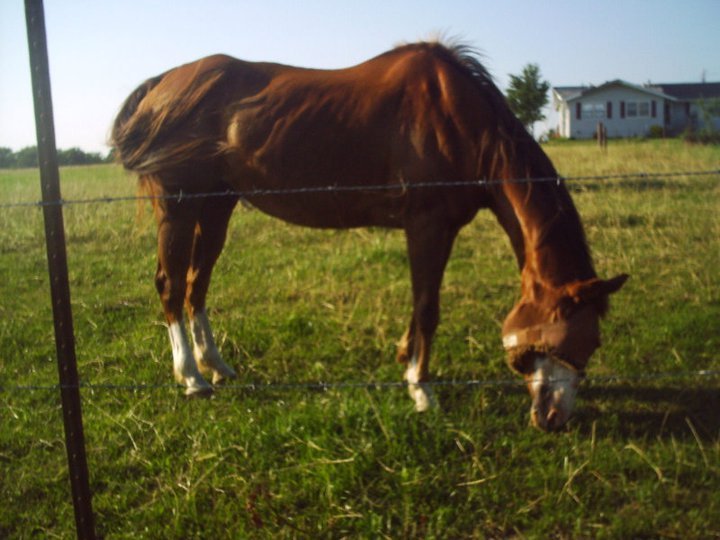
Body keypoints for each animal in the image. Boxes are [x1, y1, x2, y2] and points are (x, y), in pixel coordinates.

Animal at [111, 41, 627, 431]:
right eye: (574, 340)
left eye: (594, 344)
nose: (555, 419)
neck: (459, 121)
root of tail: (163, 84)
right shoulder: (427, 225)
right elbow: (428, 307)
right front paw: (422, 389)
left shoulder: (435, 230)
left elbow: (420, 305)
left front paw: (406, 360)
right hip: (179, 205)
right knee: (171, 284)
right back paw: (191, 378)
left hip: (218, 205)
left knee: (197, 283)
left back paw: (216, 367)